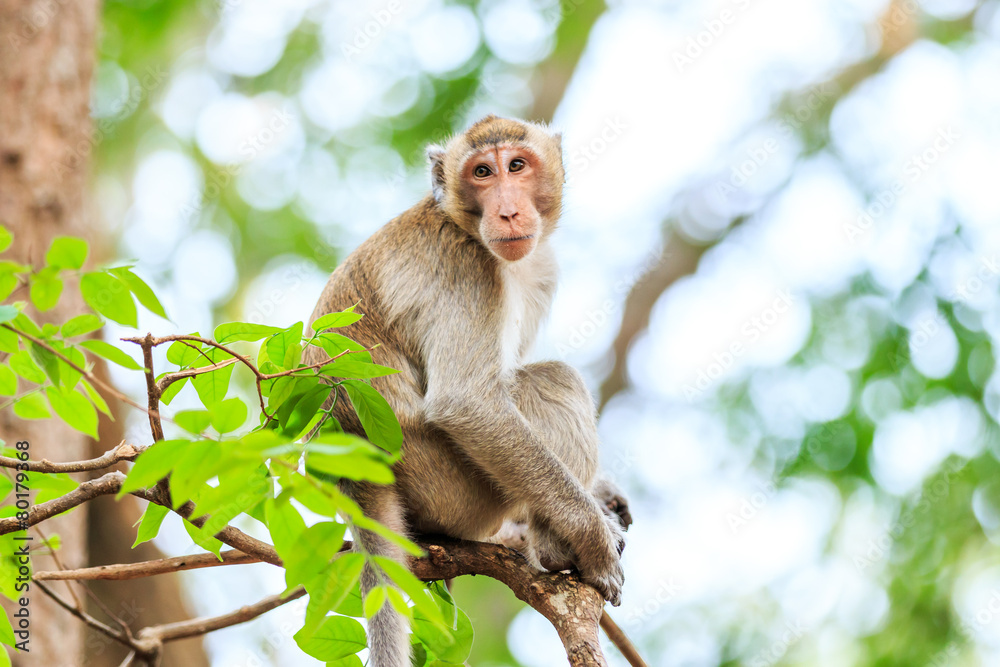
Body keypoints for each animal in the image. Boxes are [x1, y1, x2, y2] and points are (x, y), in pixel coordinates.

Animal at [303, 115, 631, 667]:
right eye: (482, 172)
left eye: (516, 165)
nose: (507, 209)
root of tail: (355, 474)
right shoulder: (467, 269)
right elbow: (469, 403)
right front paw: (592, 538)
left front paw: (604, 491)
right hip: (450, 488)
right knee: (552, 379)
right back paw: (556, 549)